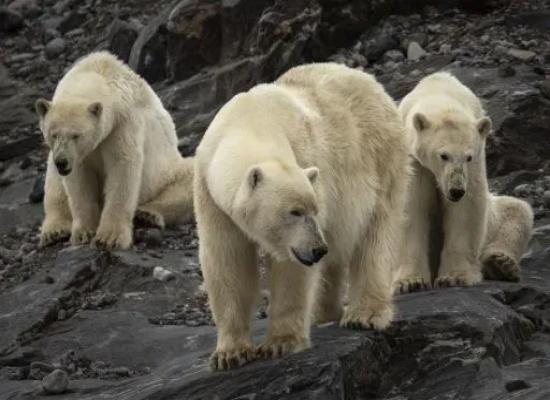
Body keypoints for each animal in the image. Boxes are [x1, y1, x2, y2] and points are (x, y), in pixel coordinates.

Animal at [35, 51, 194, 248]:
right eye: (53, 134)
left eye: (76, 135)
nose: (62, 162)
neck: (100, 70)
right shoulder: (77, 156)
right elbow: (79, 180)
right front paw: (83, 232)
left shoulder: (123, 124)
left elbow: (122, 168)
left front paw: (110, 238)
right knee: (54, 183)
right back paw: (54, 230)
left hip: (166, 173)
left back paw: (147, 215)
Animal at [194, 63, 410, 372]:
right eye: (294, 211)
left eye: (312, 209)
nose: (317, 249)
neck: (250, 122)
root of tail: (370, 80)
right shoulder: (210, 196)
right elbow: (227, 259)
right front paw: (229, 354)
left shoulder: (305, 157)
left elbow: (291, 270)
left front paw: (281, 343)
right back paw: (324, 313)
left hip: (381, 158)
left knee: (375, 235)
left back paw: (364, 314)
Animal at [396, 72, 536, 292]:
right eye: (443, 155)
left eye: (468, 157)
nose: (456, 191)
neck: (440, 90)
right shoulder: (414, 162)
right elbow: (411, 208)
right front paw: (410, 282)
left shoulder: (475, 165)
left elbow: (466, 210)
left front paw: (453, 277)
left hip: (493, 222)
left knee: (517, 211)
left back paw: (501, 264)